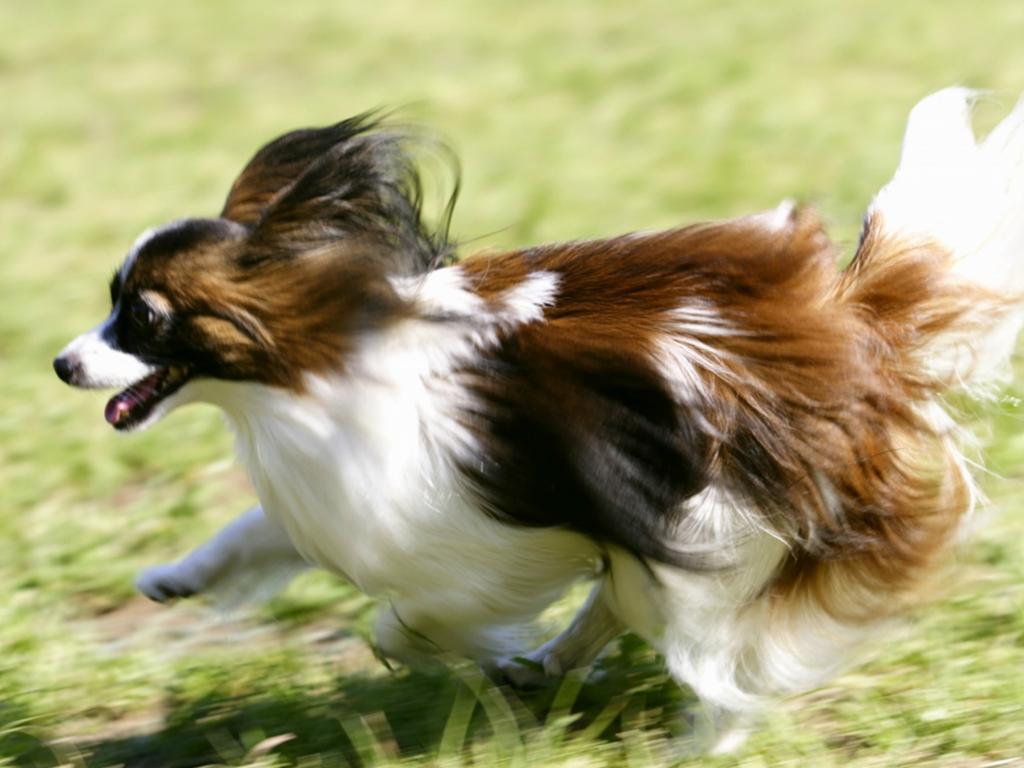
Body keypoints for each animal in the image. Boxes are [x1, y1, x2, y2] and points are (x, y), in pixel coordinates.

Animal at [51, 91, 1024, 753]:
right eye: (112, 305)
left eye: (142, 319)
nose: (62, 363)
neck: (313, 362)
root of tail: (854, 325)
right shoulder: (335, 496)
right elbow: (250, 535)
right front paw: (173, 579)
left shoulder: (466, 543)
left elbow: (403, 623)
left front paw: (463, 657)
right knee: (623, 600)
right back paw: (557, 666)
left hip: (723, 528)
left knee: (714, 656)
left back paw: (691, 743)